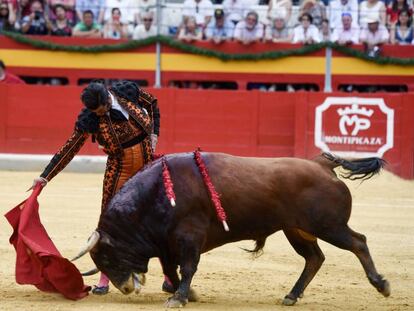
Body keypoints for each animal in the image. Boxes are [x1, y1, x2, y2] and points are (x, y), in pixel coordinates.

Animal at [73, 152, 392, 308]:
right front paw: (187, 294)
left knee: (358, 242)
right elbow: (172, 270)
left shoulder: (188, 237)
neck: (156, 195)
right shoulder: (166, 243)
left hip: (329, 226)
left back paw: (381, 284)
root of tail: (322, 165)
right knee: (314, 258)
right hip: (297, 230)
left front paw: (178, 298)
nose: (126, 289)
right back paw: (291, 296)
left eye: (106, 256)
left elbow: (187, 268)